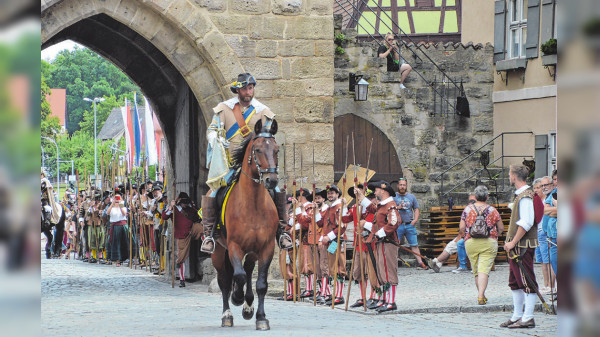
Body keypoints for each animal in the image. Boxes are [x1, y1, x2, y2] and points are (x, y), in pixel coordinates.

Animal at [213, 119, 282, 330]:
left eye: (276, 150)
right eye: (257, 149)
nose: (271, 180)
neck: (253, 205)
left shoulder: (267, 247)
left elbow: (261, 283)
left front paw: (261, 317)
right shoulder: (234, 245)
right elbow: (238, 276)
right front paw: (237, 297)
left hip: (252, 251)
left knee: (249, 270)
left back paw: (248, 305)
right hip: (218, 252)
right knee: (225, 280)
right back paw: (227, 314)